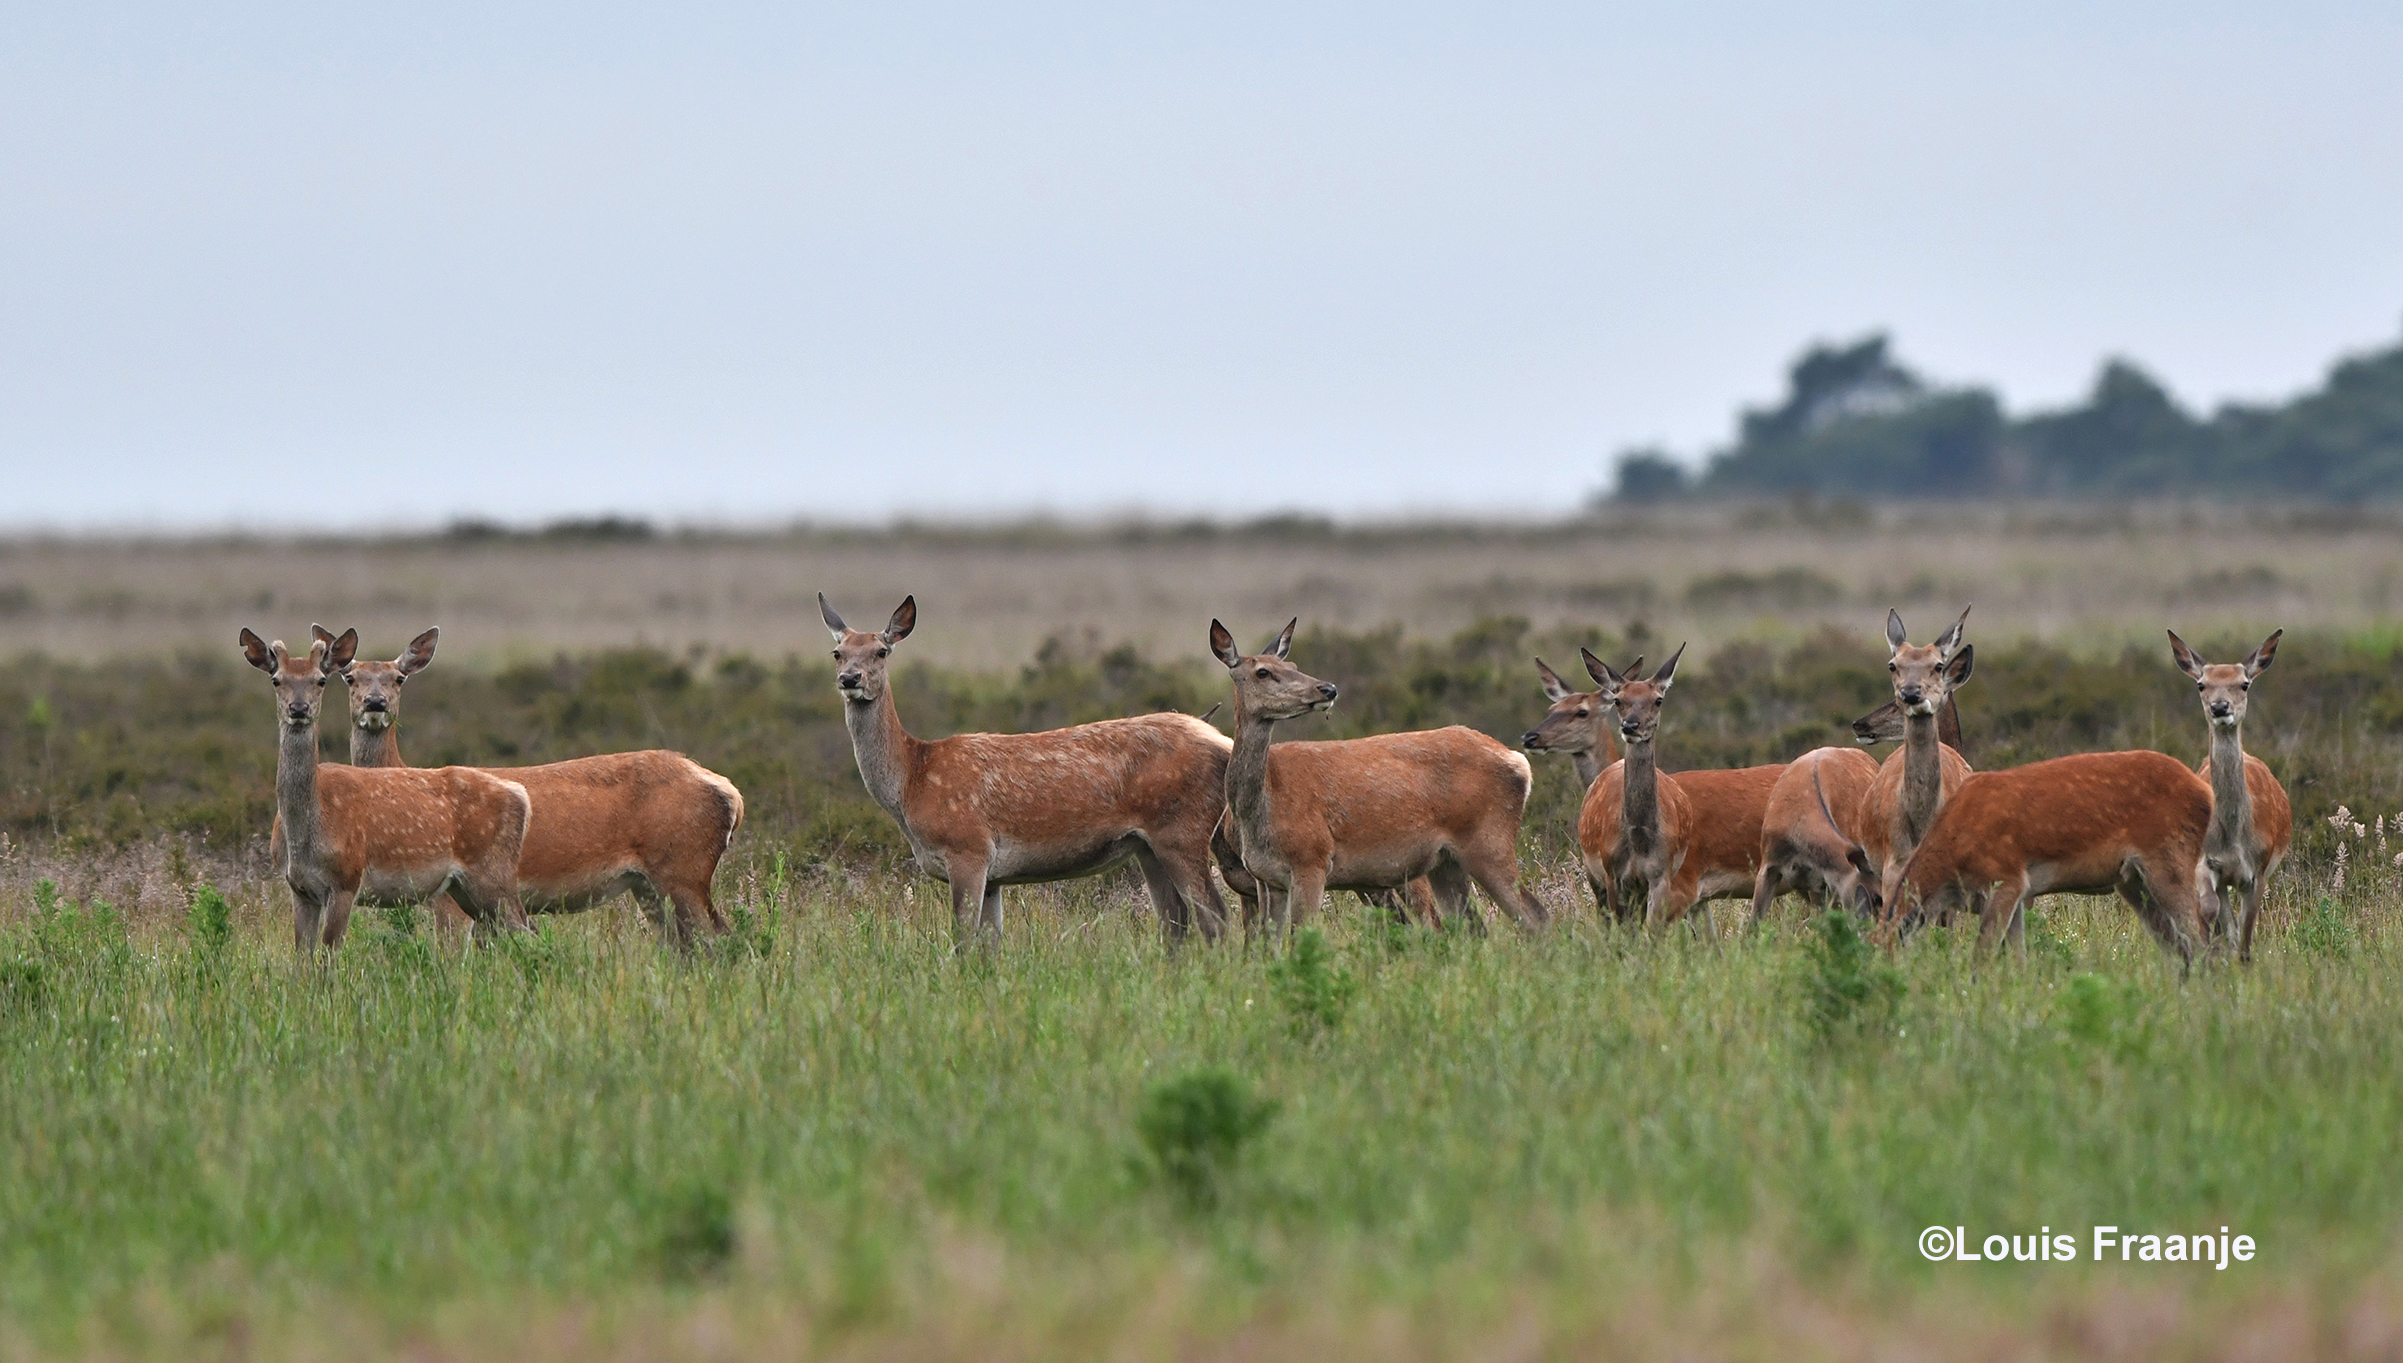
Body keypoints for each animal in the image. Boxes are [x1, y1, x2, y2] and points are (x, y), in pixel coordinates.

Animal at [305, 625, 744, 942]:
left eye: (398, 678)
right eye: (350, 678)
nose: (375, 704)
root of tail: (732, 794)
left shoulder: (449, 901)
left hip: (684, 867)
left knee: (721, 937)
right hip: (648, 884)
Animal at [831, 596, 1239, 947]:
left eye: (881, 651)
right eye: (837, 652)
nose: (850, 679)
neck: (912, 781)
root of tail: (1224, 743)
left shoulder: (967, 847)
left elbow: (963, 940)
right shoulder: (992, 875)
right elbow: (990, 943)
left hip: (1182, 830)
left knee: (1214, 916)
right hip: (1147, 846)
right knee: (1174, 919)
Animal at [1893, 750, 2210, 975]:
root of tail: (2207, 793)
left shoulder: (2006, 878)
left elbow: (1982, 957)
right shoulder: (2018, 895)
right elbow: (2018, 959)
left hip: (2170, 860)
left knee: (2200, 936)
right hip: (2133, 881)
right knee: (2176, 944)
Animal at [2172, 629, 2297, 961]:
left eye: (2244, 683)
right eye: (2202, 684)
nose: (2220, 707)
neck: (2233, 839)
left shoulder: (2258, 870)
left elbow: (2246, 934)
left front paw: (2241, 963)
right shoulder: (2207, 864)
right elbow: (2214, 915)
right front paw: (2209, 954)